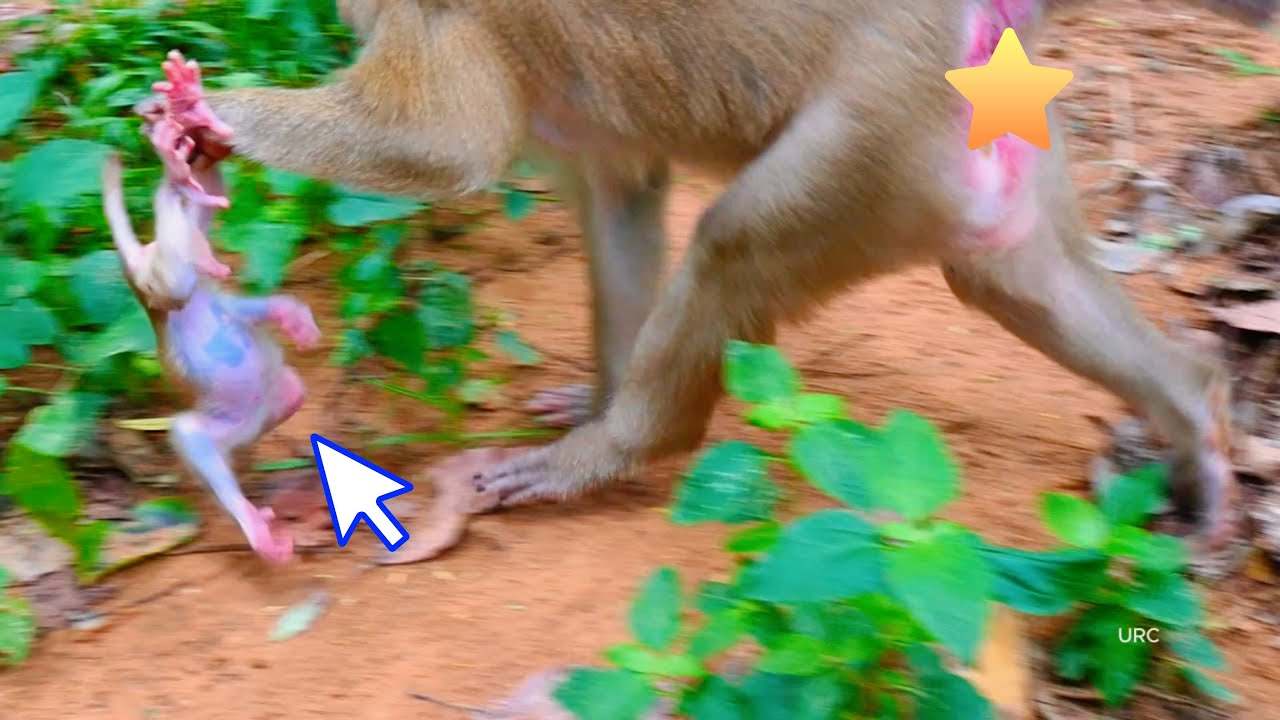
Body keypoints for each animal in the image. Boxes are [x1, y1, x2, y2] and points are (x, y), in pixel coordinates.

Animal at [102, 108, 321, 563]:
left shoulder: (214, 297)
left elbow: (239, 309)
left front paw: (292, 317)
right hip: (159, 289)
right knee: (192, 432)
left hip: (246, 410)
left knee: (288, 391)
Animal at [145, 0, 1277, 557]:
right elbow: (620, 191)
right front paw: (596, 395)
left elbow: (441, 147)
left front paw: (208, 117)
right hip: (973, 122)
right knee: (1005, 269)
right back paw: (1196, 420)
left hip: (880, 128)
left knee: (736, 241)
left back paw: (624, 448)